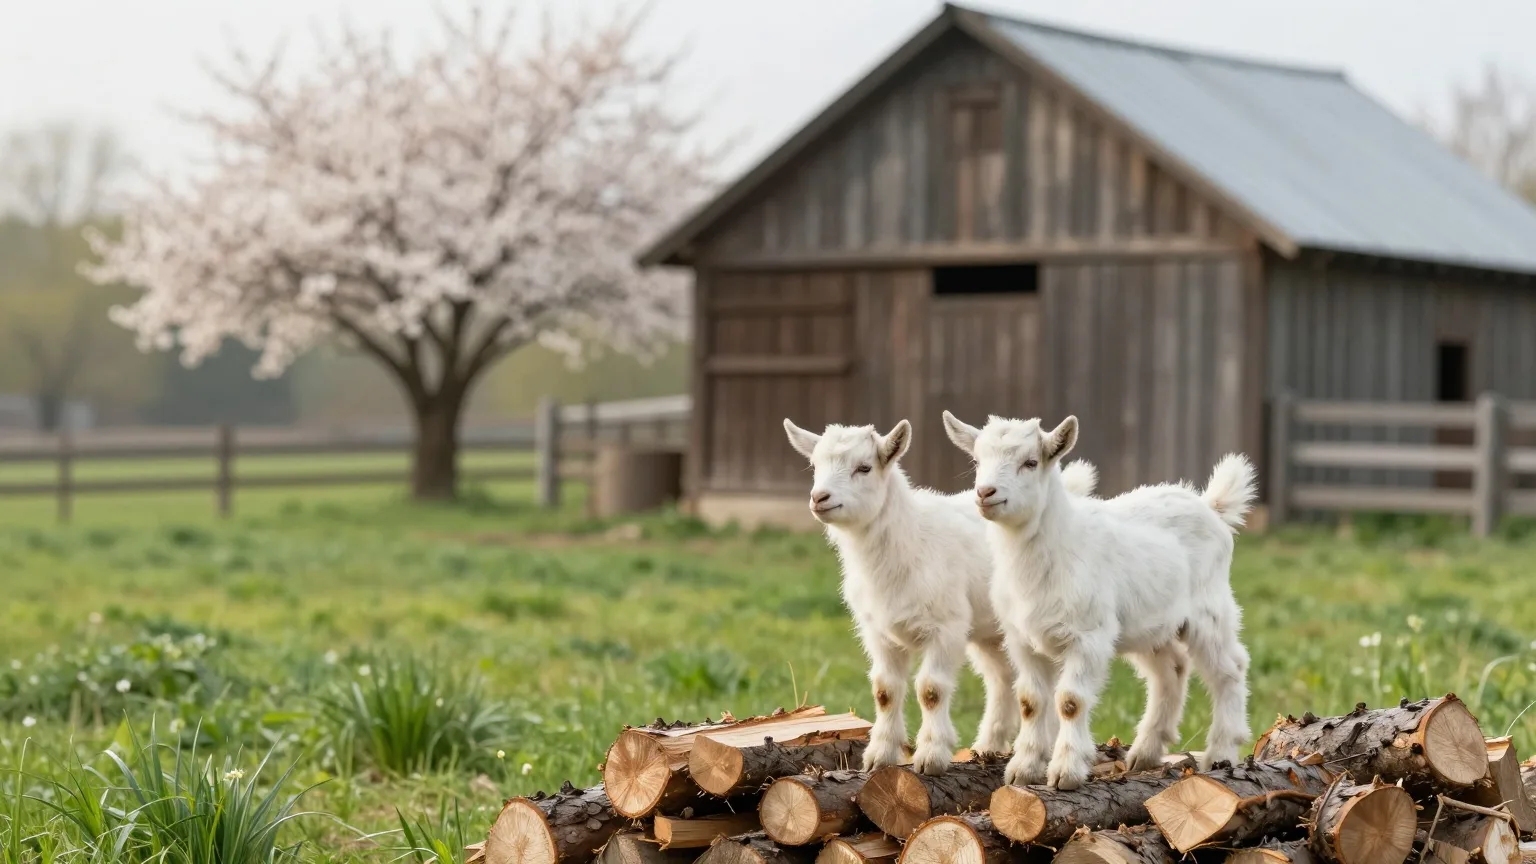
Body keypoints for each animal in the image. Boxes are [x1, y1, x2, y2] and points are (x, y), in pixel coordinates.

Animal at [783, 417, 1098, 774]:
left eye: (864, 467)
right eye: (814, 465)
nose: (819, 497)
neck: (910, 540)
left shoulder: (945, 628)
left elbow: (930, 689)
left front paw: (931, 755)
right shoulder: (877, 632)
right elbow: (884, 690)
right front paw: (880, 756)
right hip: (991, 633)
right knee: (1001, 679)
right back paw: (989, 745)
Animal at [942, 411, 1256, 790]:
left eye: (1030, 462)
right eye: (977, 461)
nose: (985, 492)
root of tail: (1211, 506)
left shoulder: (1088, 637)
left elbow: (1070, 702)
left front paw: (1065, 771)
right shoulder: (1022, 639)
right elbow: (1030, 701)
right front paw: (1024, 769)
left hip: (1209, 611)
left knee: (1230, 668)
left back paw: (1222, 751)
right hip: (1149, 625)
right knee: (1172, 669)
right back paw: (1145, 752)